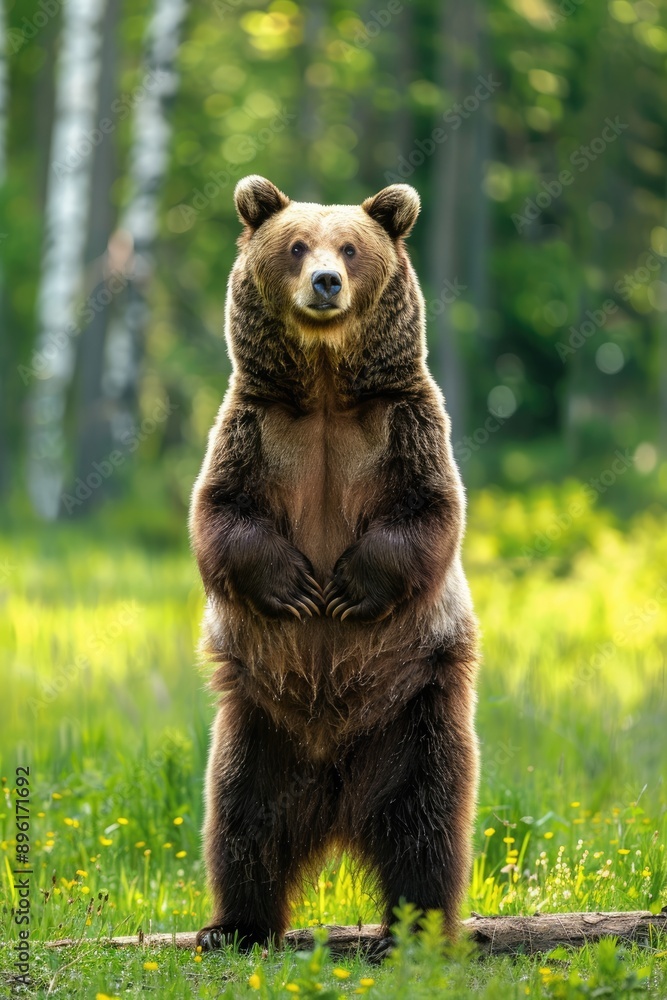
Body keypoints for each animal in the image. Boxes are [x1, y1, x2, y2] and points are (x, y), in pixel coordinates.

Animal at [190, 174, 479, 952]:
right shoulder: (253, 427)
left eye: (350, 247)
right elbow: (221, 516)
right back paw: (234, 925)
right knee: (240, 821)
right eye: (296, 245)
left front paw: (346, 588)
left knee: (426, 823)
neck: (323, 385)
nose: (326, 282)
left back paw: (410, 931)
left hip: (413, 713)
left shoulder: (404, 423)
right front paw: (295, 586)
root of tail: (333, 798)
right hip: (256, 727)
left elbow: (428, 511)